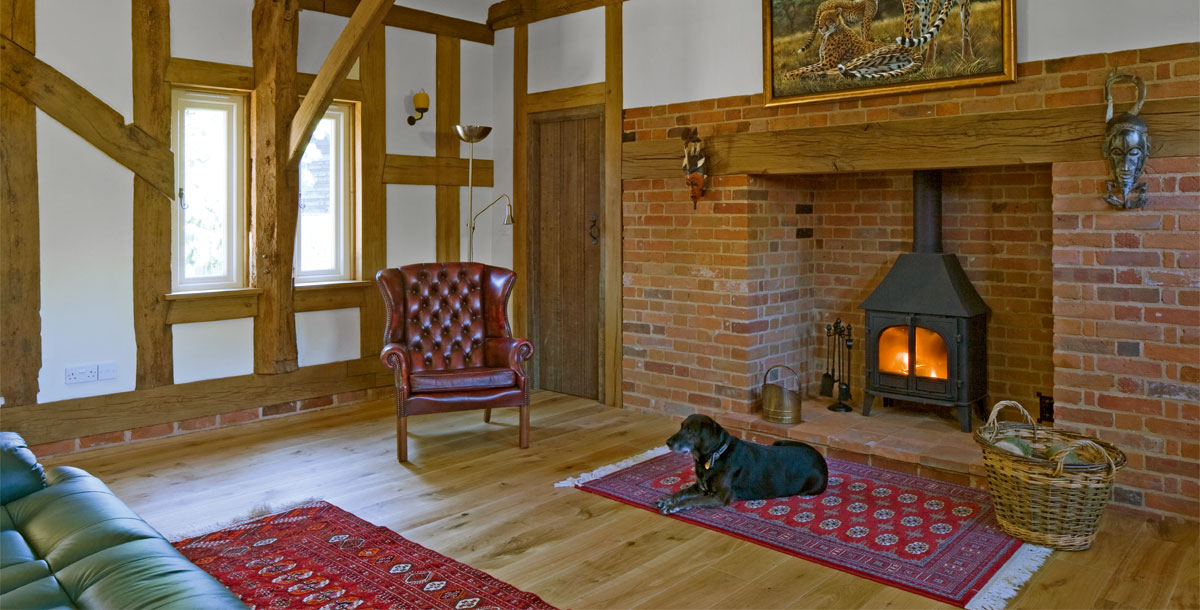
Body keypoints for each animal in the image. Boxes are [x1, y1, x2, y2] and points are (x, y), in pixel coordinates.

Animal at [652, 413, 830, 511]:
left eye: (690, 430)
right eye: (681, 426)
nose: (667, 442)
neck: (714, 456)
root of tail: (821, 458)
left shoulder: (719, 497)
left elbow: (692, 500)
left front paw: (673, 506)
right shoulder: (700, 487)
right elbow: (681, 493)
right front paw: (668, 500)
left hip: (809, 488)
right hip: (779, 442)